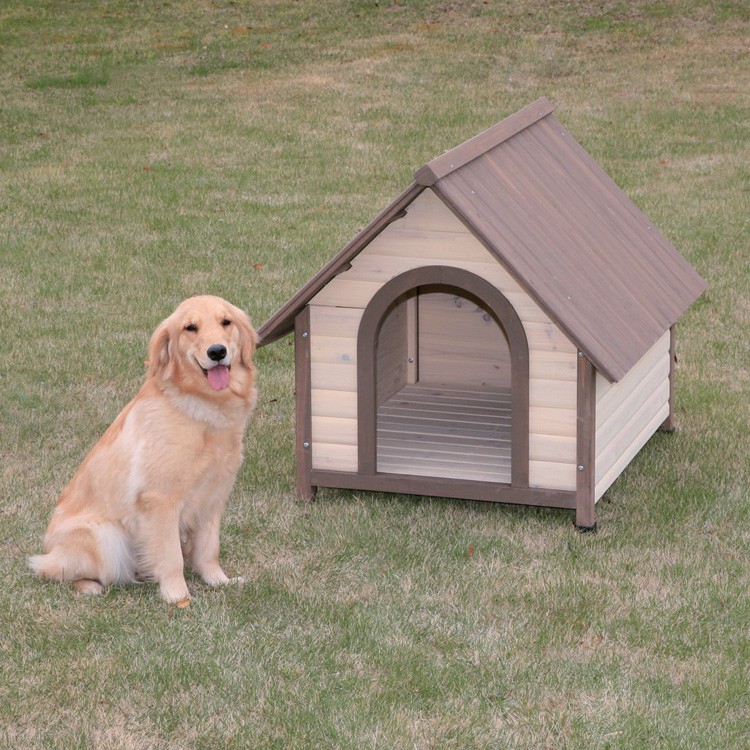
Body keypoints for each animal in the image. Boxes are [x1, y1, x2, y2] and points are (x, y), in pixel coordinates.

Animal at [30, 296, 258, 604]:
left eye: (226, 322)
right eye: (190, 328)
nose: (217, 351)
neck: (199, 407)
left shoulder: (213, 497)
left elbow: (209, 550)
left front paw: (219, 581)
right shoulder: (160, 500)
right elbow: (171, 557)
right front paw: (178, 597)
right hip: (104, 536)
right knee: (50, 570)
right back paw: (89, 586)